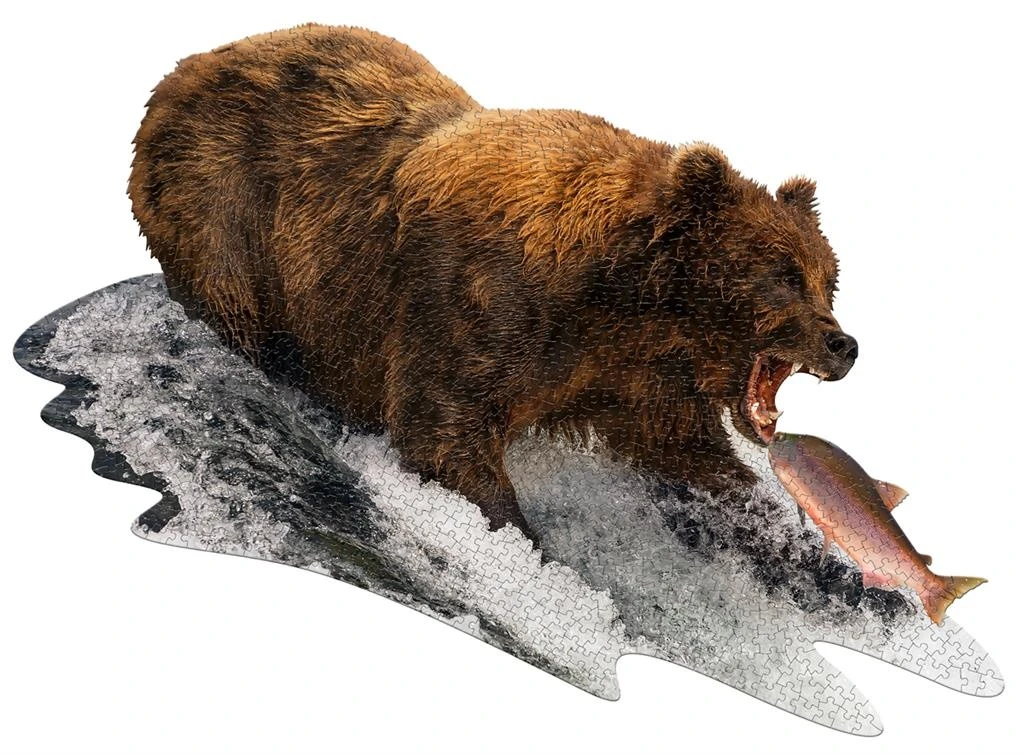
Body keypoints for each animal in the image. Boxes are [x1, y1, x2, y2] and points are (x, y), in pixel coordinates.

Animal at [128, 24, 858, 544]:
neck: (619, 298)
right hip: (222, 206)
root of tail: (188, 65)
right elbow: (446, 432)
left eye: (829, 280)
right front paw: (526, 544)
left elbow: (692, 455)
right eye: (782, 275)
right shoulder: (476, 305)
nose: (843, 345)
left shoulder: (630, 375)